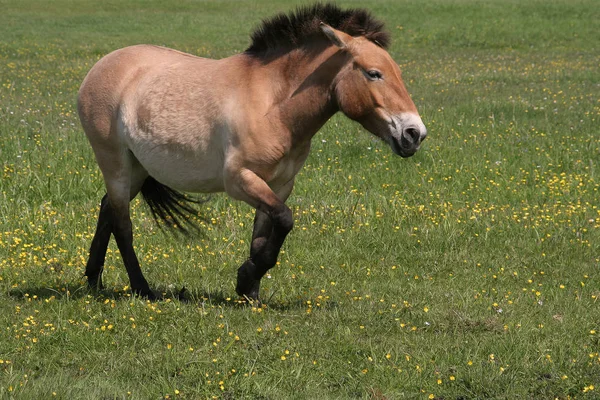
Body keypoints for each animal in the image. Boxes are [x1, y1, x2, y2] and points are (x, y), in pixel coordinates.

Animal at [77, 3, 426, 302]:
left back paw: (93, 281)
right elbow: (285, 220)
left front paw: (250, 291)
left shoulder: (278, 185)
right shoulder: (240, 180)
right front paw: (245, 277)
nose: (414, 133)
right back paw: (142, 288)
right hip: (115, 163)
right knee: (123, 224)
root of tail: (100, 67)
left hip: (137, 168)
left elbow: (265, 232)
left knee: (107, 209)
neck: (272, 104)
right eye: (373, 73)